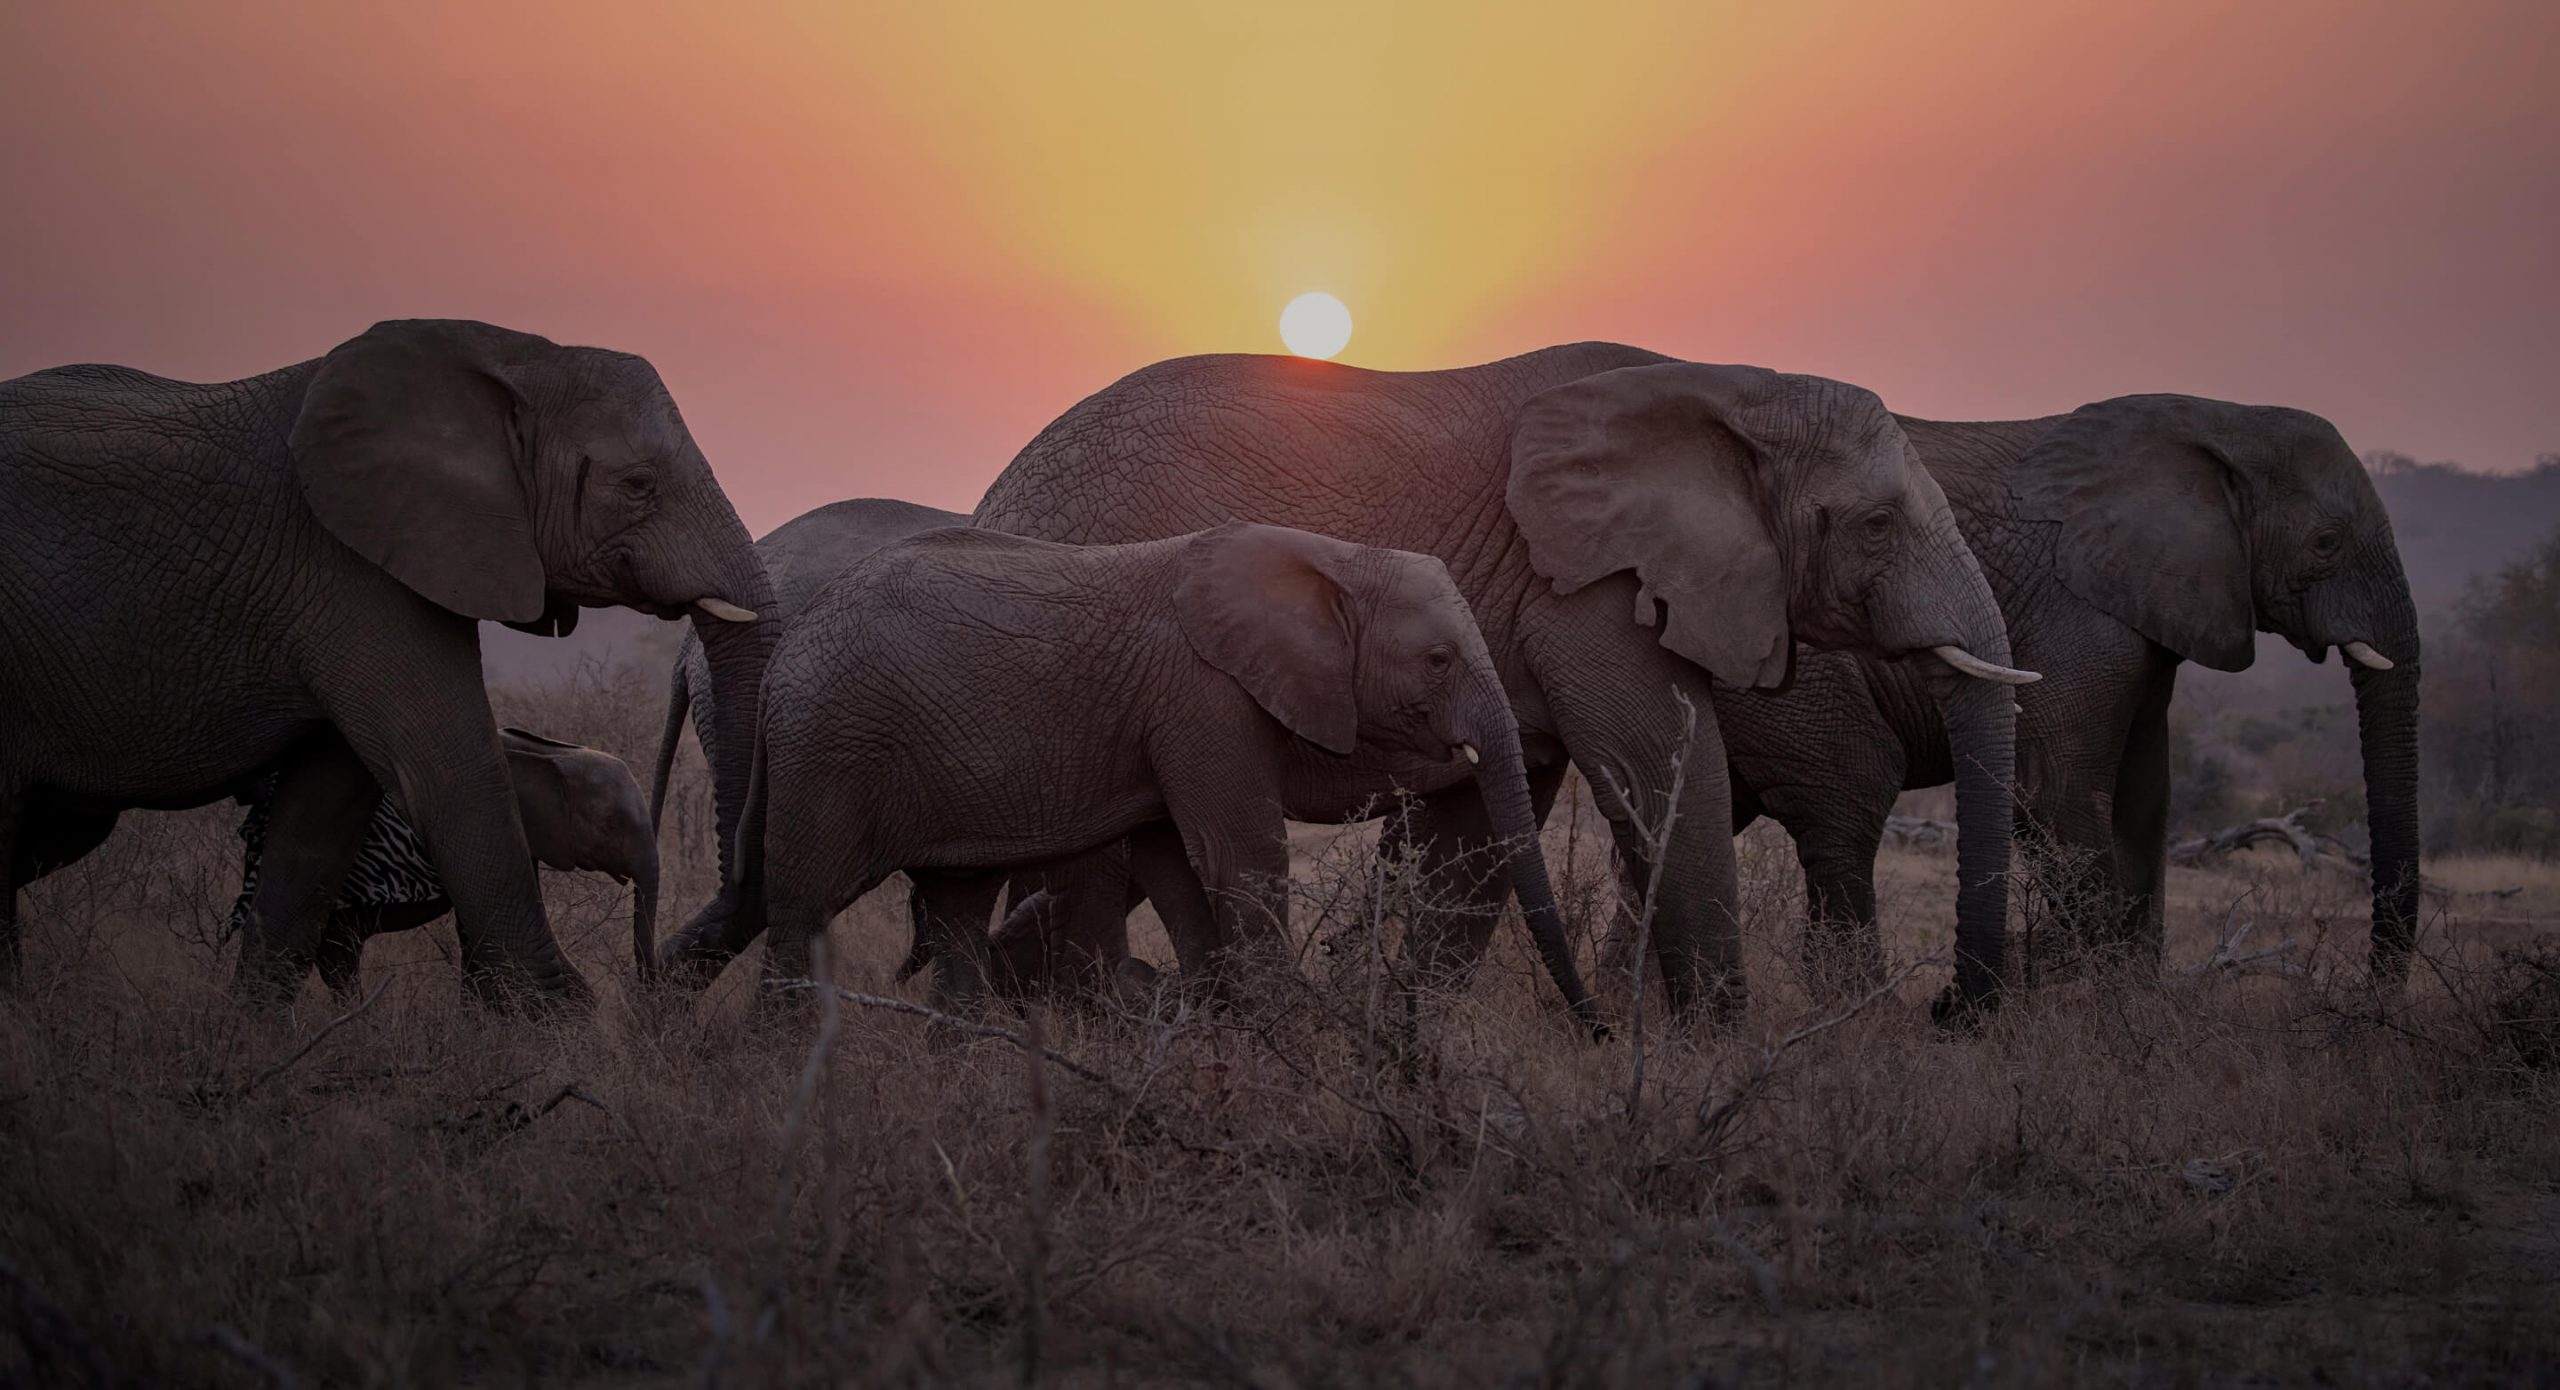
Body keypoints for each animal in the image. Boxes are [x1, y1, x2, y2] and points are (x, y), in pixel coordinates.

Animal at [665, 522, 1597, 1034]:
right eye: (1438, 661)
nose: (1600, 1028)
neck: (1330, 555)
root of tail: (783, 656)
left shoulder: (1171, 719)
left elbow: (1175, 863)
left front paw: (1228, 1028)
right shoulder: (1202, 698)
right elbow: (1237, 856)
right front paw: (1292, 1036)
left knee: (957, 913)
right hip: (832, 747)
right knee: (800, 906)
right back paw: (778, 1065)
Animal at [972, 348, 2037, 1023]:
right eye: (1876, 525)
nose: (1951, 1010)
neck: (1730, 389)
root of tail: (1001, 486)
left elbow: (1486, 817)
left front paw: (1409, 1037)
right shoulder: (1582, 582)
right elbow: (1659, 757)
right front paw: (1721, 1045)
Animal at [1699, 399, 2416, 988]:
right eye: (2326, 544)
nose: (2370, 990)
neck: (2218, 419)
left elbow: (2145, 802)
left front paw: (2132, 1002)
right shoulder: (2077, 612)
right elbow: (2058, 793)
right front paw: (2092, 1001)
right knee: (1847, 802)